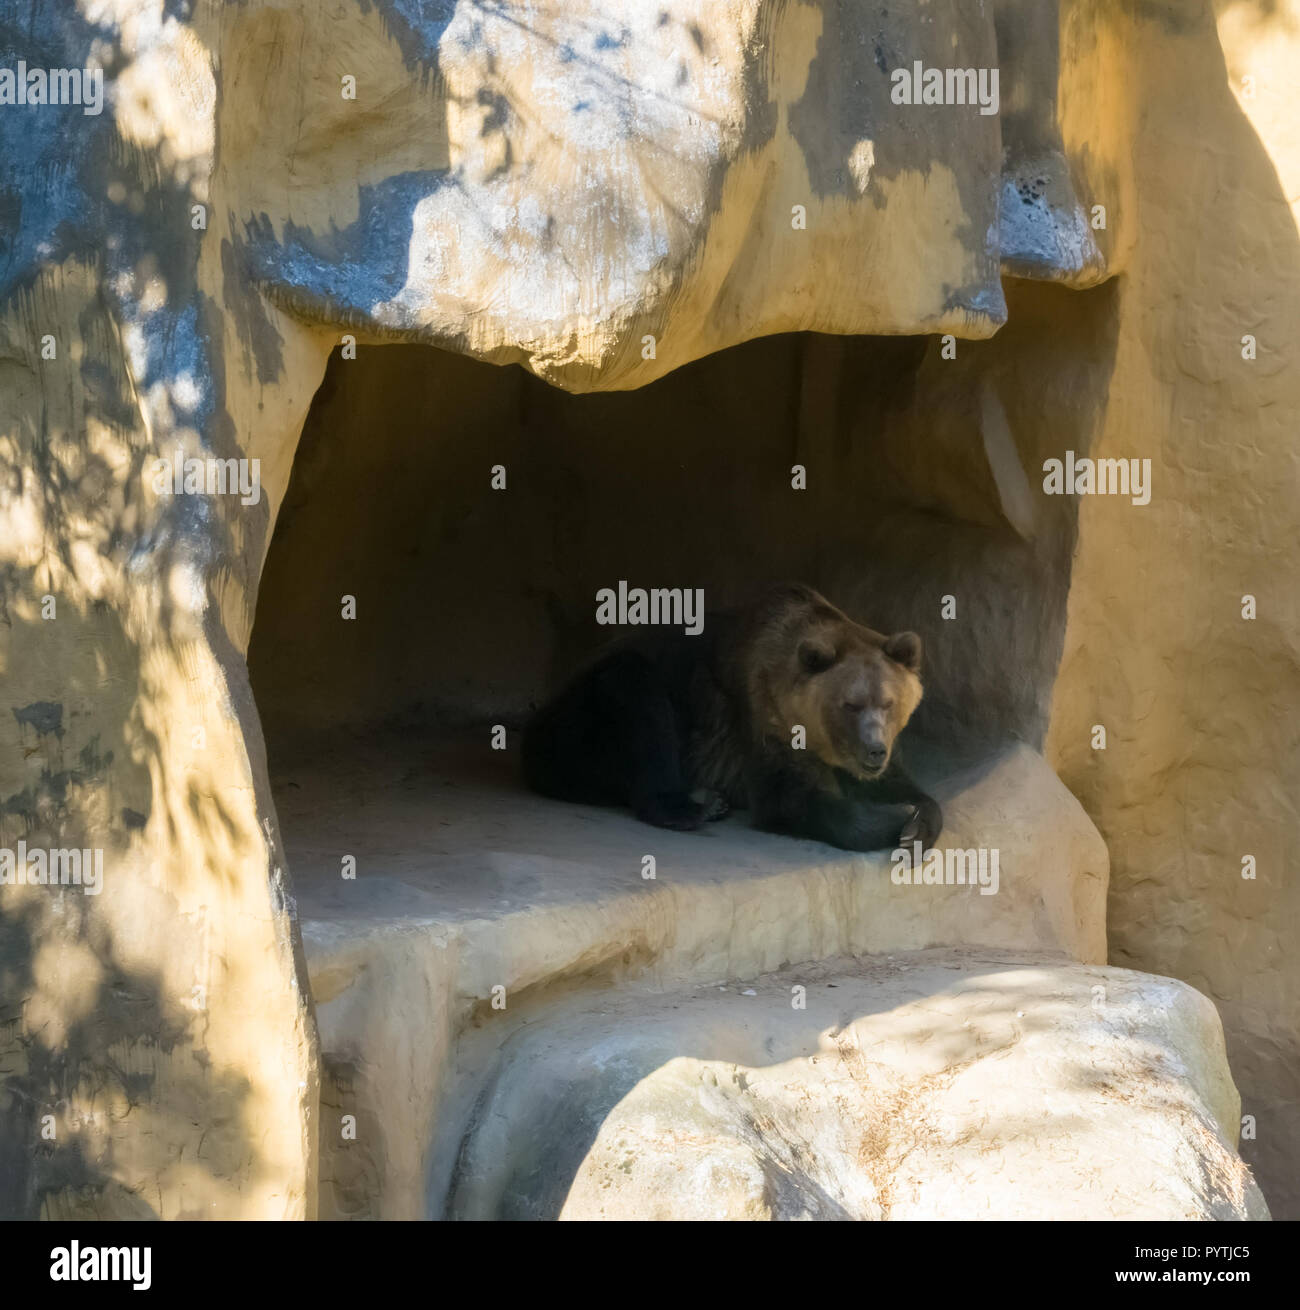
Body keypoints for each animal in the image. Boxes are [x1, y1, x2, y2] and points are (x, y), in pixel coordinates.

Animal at [524, 584, 938, 848]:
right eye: (850, 704)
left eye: (888, 703)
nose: (874, 751)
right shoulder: (762, 713)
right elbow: (789, 797)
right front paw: (896, 819)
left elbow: (900, 783)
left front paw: (919, 818)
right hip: (585, 716)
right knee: (637, 698)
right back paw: (690, 807)